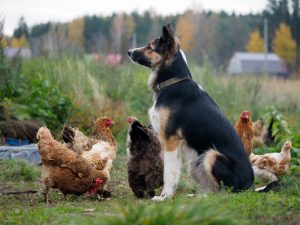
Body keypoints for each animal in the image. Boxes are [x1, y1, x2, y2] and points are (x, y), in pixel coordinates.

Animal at [126, 24, 253, 200]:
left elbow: (168, 174)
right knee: (213, 189)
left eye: (150, 47)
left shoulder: (170, 141)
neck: (172, 83)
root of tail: (250, 184)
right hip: (195, 162)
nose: (129, 51)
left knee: (222, 193)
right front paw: (169, 195)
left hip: (210, 156)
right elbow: (173, 173)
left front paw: (164, 197)